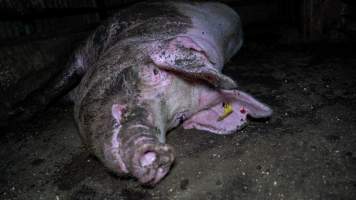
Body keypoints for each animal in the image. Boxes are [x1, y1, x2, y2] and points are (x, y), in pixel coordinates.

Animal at [4, 0, 272, 184]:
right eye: (153, 72)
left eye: (180, 118)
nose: (159, 152)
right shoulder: (90, 43)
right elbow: (59, 80)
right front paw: (16, 115)